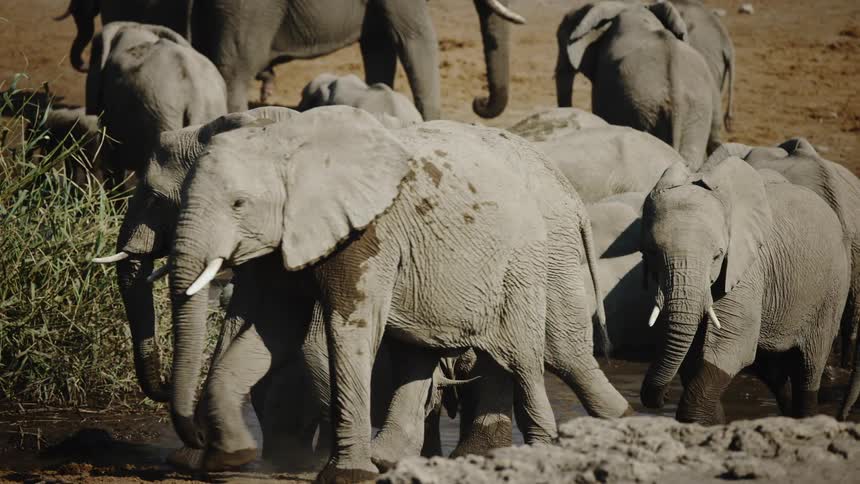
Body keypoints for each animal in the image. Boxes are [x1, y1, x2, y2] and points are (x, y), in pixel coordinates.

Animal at [164, 106, 631, 481]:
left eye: (239, 203)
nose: (196, 437)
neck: (291, 141)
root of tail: (567, 188)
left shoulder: (371, 234)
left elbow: (348, 329)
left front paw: (347, 476)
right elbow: (275, 331)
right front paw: (230, 457)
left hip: (524, 262)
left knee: (529, 356)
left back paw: (559, 444)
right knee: (420, 352)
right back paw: (392, 459)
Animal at [639, 157, 850, 424]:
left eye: (717, 256)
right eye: (651, 252)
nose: (663, 397)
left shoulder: (747, 271)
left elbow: (731, 346)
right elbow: (693, 357)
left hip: (833, 288)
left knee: (808, 369)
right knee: (776, 374)